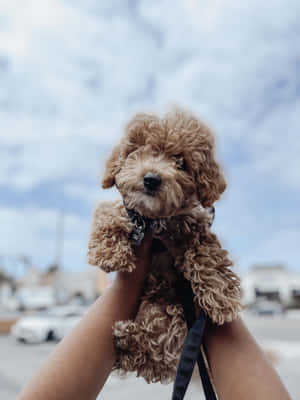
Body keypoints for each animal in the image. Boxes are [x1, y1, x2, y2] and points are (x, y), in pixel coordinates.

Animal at [87, 108, 241, 382]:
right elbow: (108, 213)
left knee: (158, 351)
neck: (155, 220)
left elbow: (207, 254)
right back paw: (125, 339)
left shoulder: (196, 225)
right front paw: (110, 254)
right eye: (140, 150)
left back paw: (128, 340)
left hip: (171, 314)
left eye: (181, 162)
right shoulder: (127, 211)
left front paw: (222, 298)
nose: (151, 179)